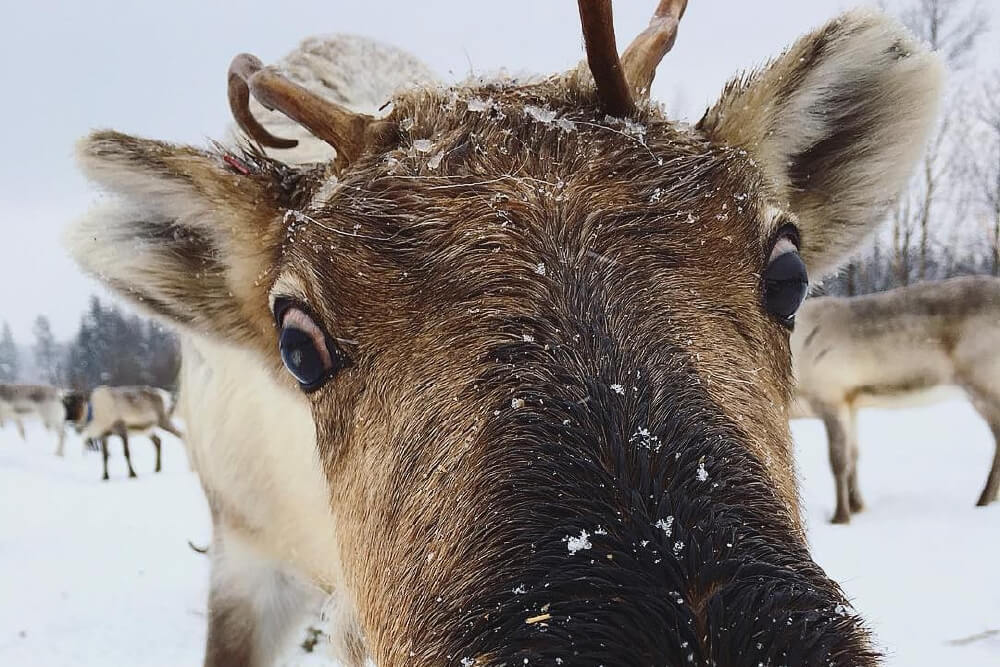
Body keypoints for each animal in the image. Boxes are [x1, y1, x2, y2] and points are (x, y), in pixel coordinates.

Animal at [791, 275, 1000, 524]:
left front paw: (840, 517)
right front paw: (858, 507)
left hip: (984, 383)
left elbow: (839, 462)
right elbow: (854, 457)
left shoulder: (831, 397)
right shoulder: (851, 403)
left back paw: (983, 500)